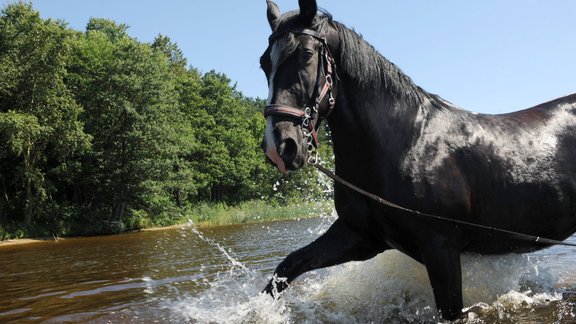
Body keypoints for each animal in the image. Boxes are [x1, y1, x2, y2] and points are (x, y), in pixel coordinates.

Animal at [260, 0, 576, 318]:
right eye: (264, 63)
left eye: (306, 54)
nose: (280, 146)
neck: (407, 142)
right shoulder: (359, 237)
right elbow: (285, 269)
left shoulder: (441, 249)